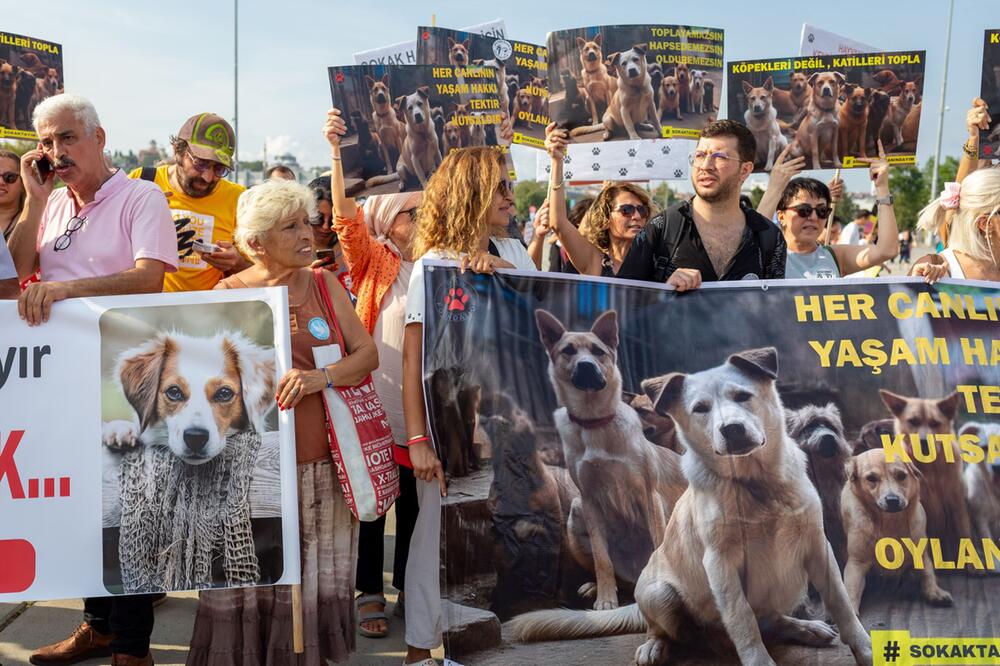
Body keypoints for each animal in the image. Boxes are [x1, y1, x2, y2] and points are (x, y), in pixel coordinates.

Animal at [512, 348, 872, 664]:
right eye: (700, 408)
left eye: (742, 396)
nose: (732, 429)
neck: (757, 485)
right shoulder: (720, 563)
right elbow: (744, 623)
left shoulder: (818, 546)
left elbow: (842, 604)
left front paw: (865, 650)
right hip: (660, 595)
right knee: (668, 630)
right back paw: (657, 646)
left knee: (771, 620)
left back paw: (806, 628)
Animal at [532, 308, 688, 608]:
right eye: (568, 351)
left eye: (598, 351)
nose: (586, 367)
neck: (596, 423)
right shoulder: (589, 500)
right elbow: (602, 559)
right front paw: (605, 598)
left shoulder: (649, 496)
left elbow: (657, 543)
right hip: (575, 517)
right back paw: (597, 587)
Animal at [836, 448, 952, 608]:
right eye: (871, 478)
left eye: (901, 476)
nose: (892, 500)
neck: (890, 523)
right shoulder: (856, 563)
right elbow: (851, 592)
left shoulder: (921, 555)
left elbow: (927, 573)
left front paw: (934, 591)